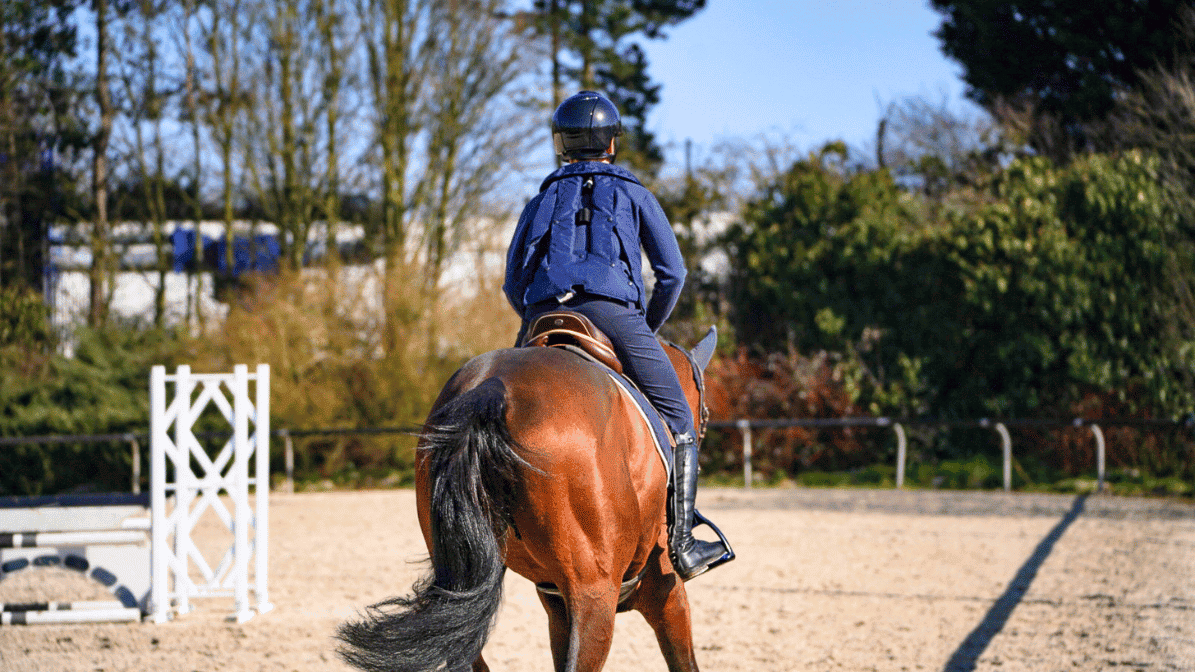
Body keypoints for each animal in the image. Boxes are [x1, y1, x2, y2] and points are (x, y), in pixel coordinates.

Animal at [336, 322, 723, 672]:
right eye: (704, 414)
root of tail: (493, 384)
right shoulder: (666, 594)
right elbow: (684, 662)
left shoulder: (558, 608)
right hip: (594, 595)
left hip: (464, 587)